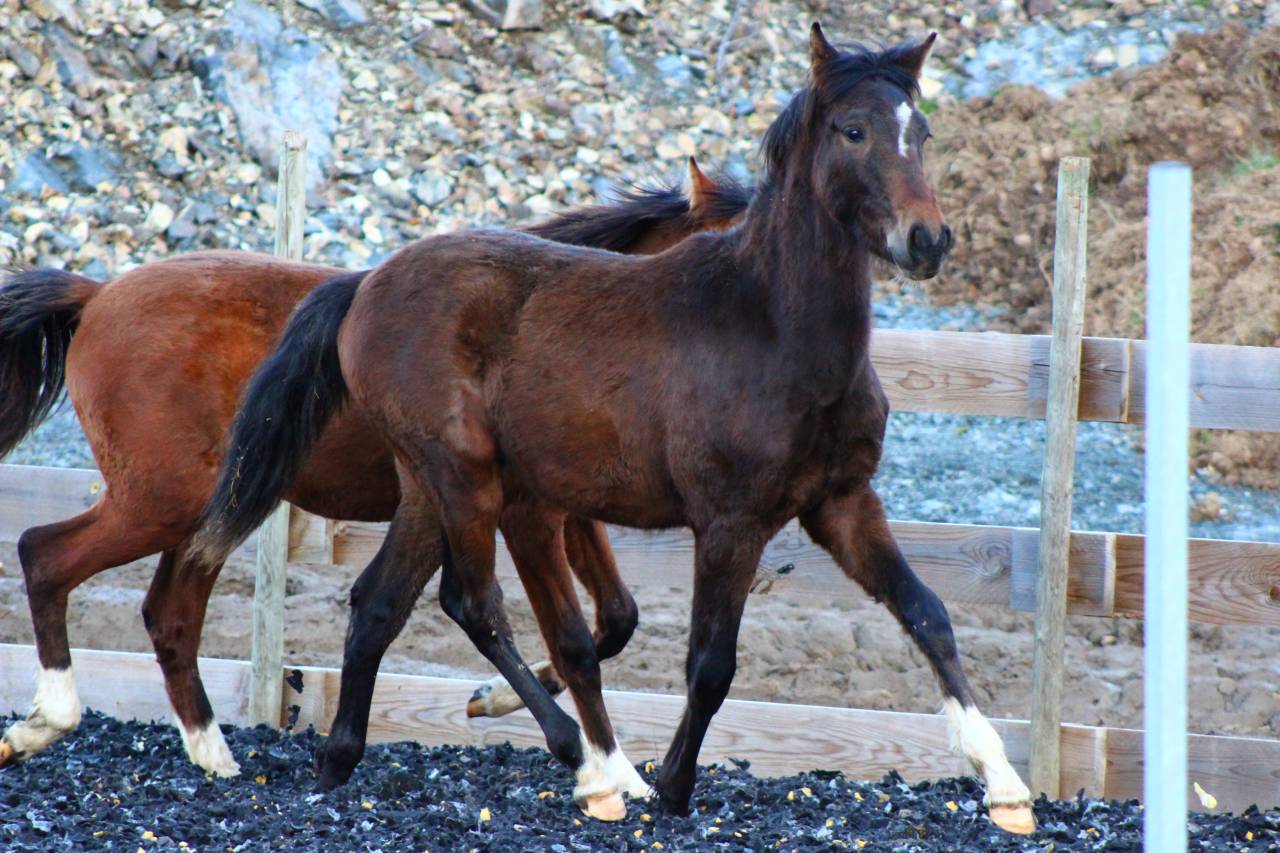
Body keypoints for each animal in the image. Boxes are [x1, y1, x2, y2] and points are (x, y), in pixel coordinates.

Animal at [0, 160, 750, 779]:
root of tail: (97, 295)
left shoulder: (551, 507)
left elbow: (614, 616)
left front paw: (493, 702)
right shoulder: (518, 508)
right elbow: (531, 622)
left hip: (210, 512)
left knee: (169, 612)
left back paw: (213, 753)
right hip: (159, 502)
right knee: (46, 556)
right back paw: (48, 720)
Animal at [192, 25, 1036, 834]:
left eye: (921, 130)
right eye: (854, 130)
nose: (926, 240)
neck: (771, 329)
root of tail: (366, 282)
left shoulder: (843, 504)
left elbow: (928, 614)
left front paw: (1005, 783)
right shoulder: (729, 522)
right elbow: (709, 663)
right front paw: (672, 787)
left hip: (429, 487)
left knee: (380, 603)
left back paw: (340, 758)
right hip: (467, 480)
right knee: (475, 603)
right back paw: (594, 769)